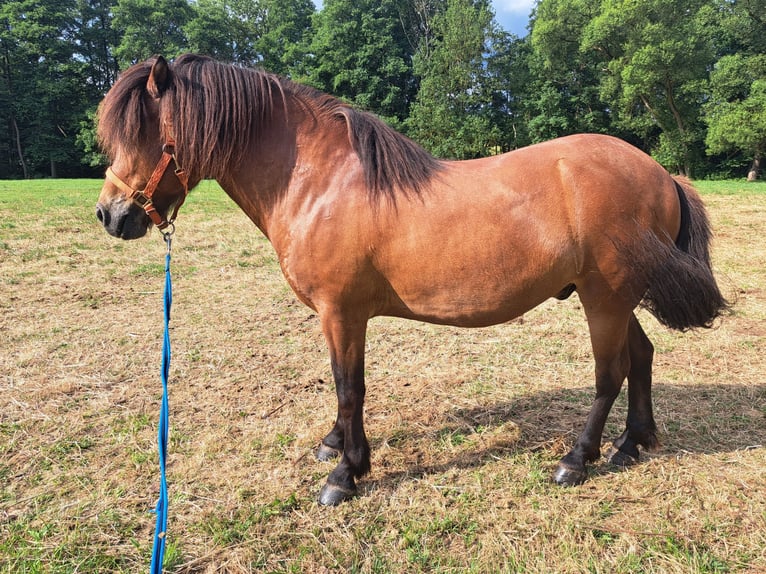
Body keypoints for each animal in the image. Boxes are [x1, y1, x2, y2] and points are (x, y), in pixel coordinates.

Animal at [95, 54, 729, 506]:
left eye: (144, 134)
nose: (110, 215)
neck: (319, 180)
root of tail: (660, 172)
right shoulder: (341, 317)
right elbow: (343, 387)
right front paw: (336, 447)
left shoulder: (341, 312)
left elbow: (349, 387)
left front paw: (345, 474)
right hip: (619, 300)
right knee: (641, 357)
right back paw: (631, 444)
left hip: (605, 298)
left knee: (610, 372)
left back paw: (578, 459)